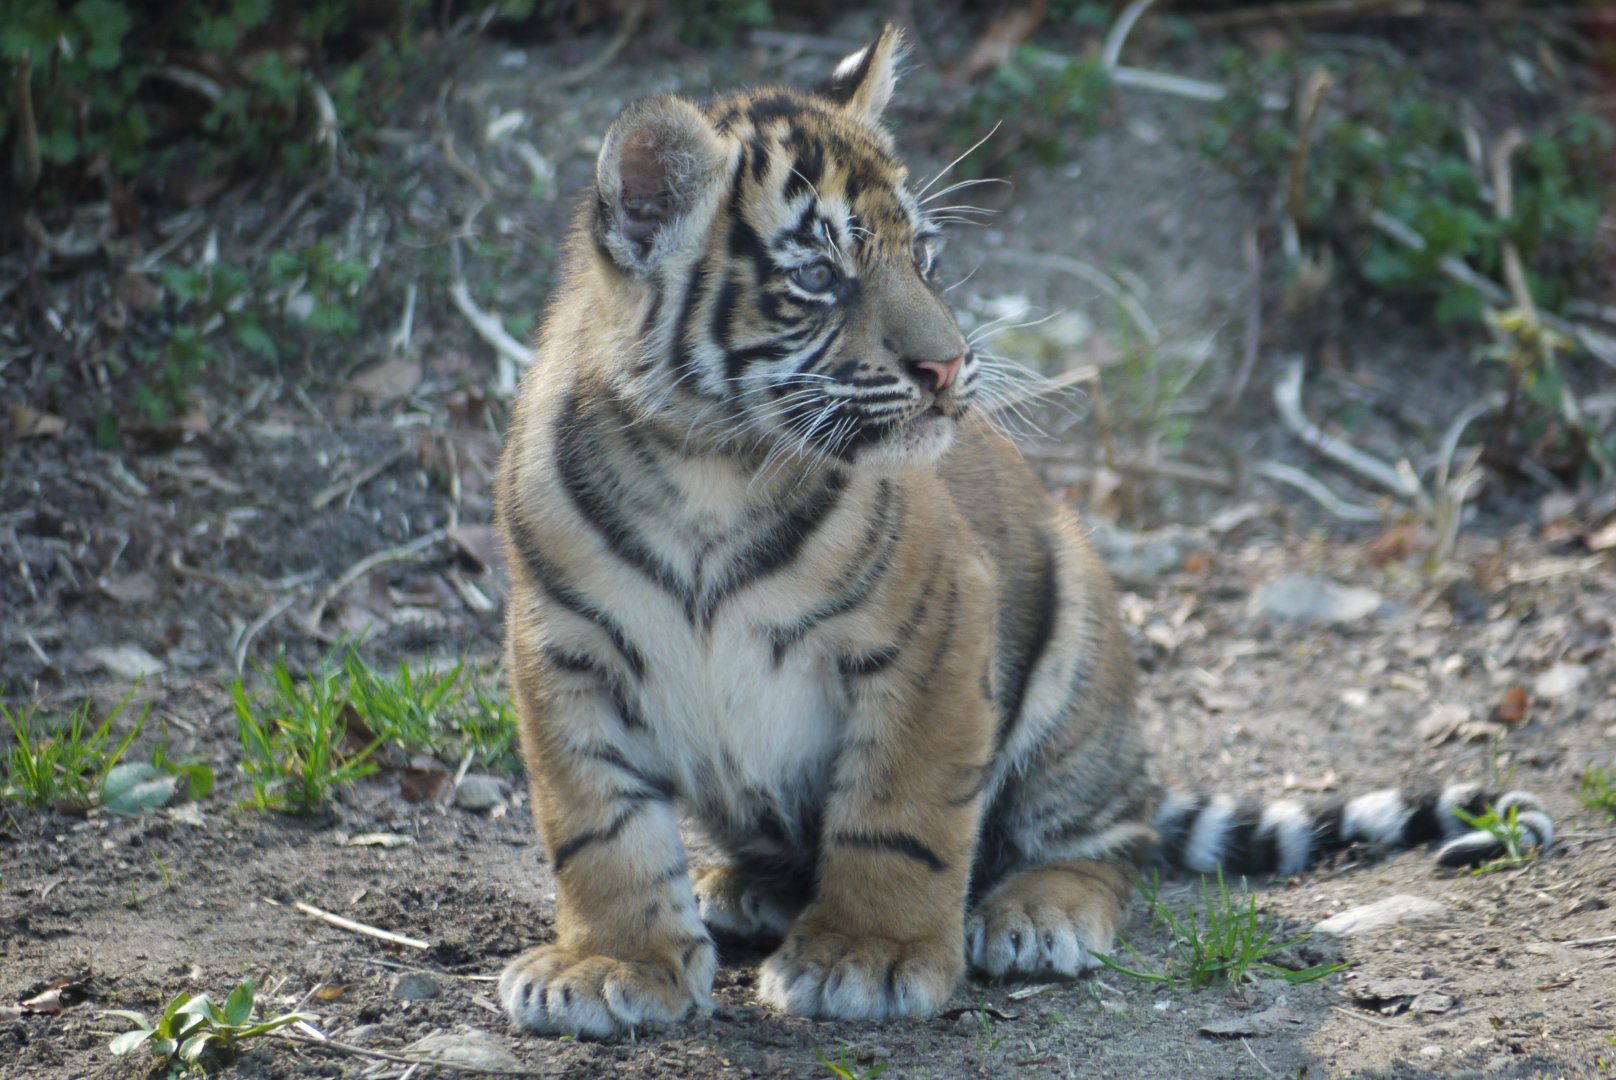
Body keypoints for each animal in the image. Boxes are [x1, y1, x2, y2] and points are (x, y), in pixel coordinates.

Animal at [491, 26, 1553, 1038]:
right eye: (821, 275)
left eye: (924, 256)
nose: (948, 366)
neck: (708, 466)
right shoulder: (563, 653)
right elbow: (598, 830)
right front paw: (611, 966)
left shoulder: (935, 630)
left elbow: (898, 813)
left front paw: (867, 957)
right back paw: (742, 890)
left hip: (1076, 668)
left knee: (1112, 842)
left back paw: (1037, 914)